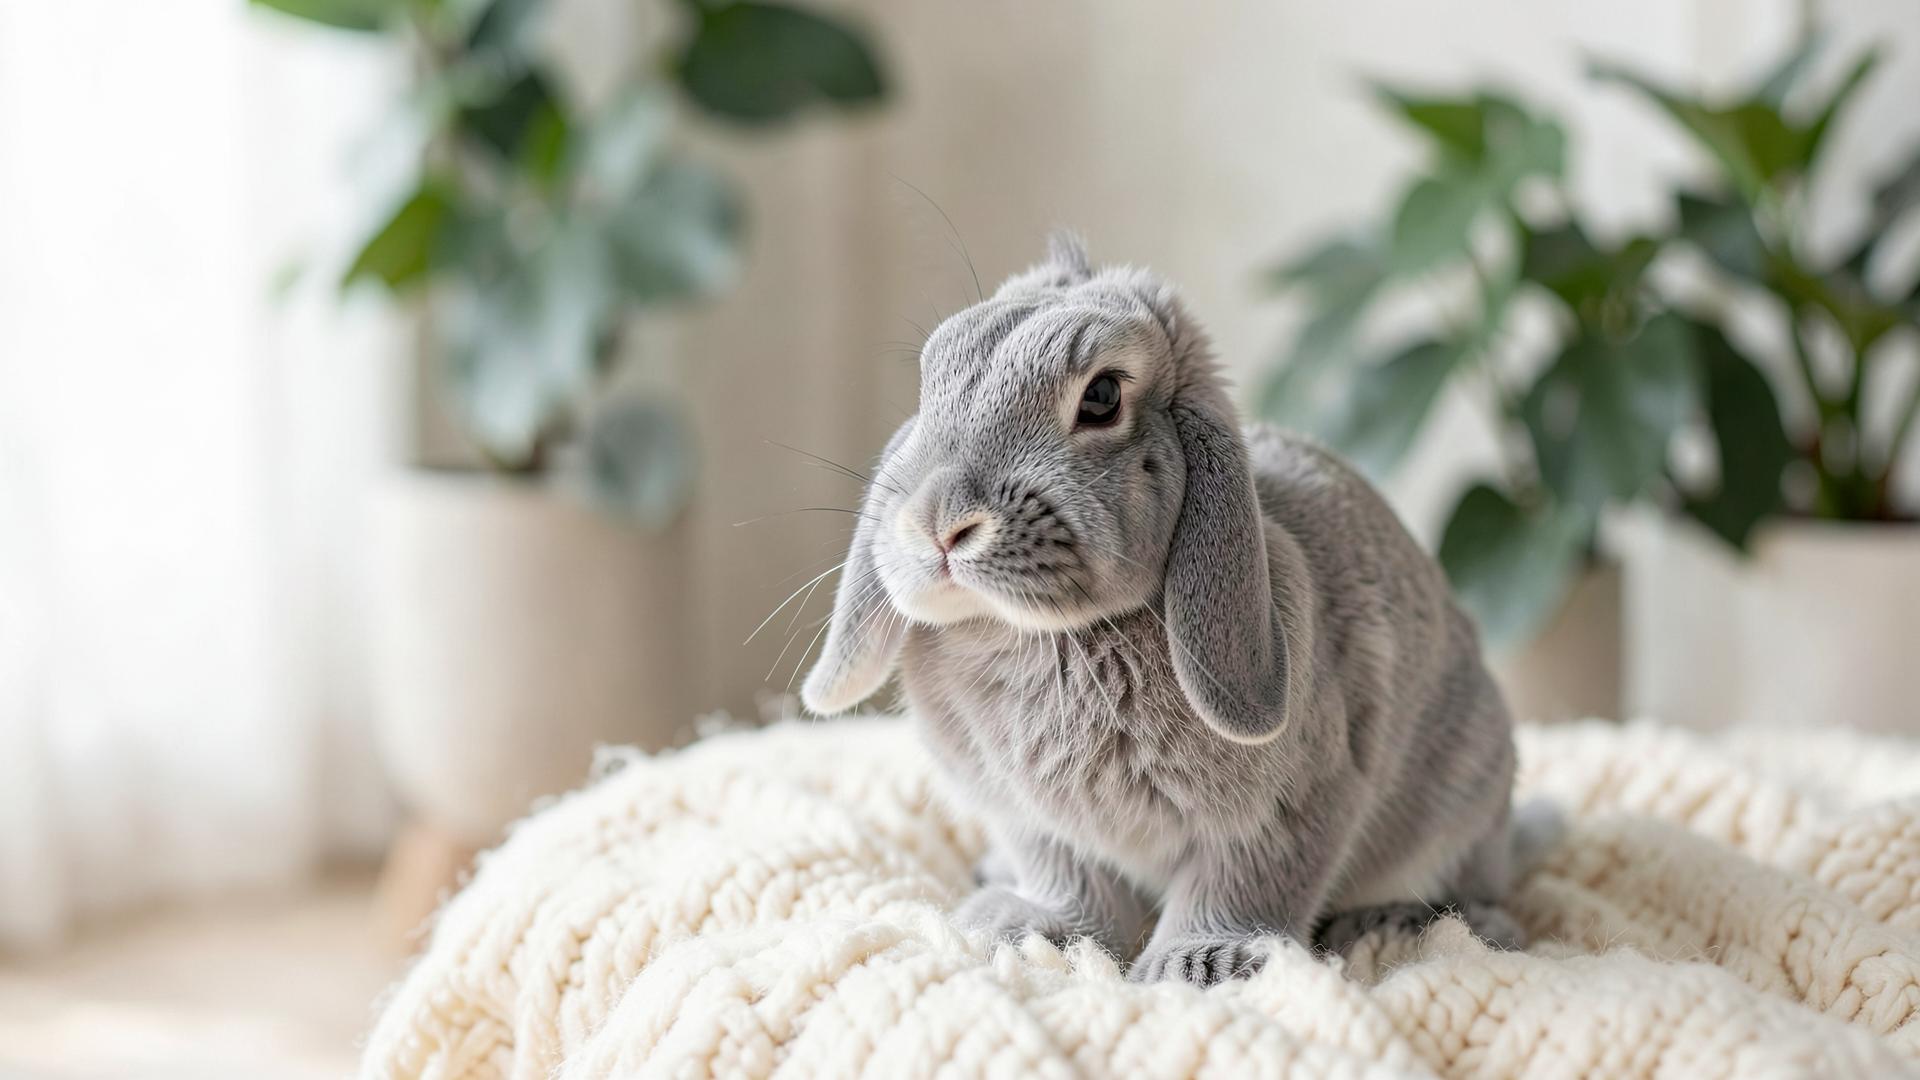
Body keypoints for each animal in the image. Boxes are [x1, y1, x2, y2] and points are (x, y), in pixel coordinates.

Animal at [800, 233, 1526, 986]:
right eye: (930, 379)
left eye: (1101, 397)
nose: (939, 524)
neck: (1049, 638)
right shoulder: (1037, 825)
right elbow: (1071, 882)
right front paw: (1036, 934)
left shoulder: (1288, 811)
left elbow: (1242, 886)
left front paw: (1200, 963)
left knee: (1482, 900)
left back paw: (1395, 923)